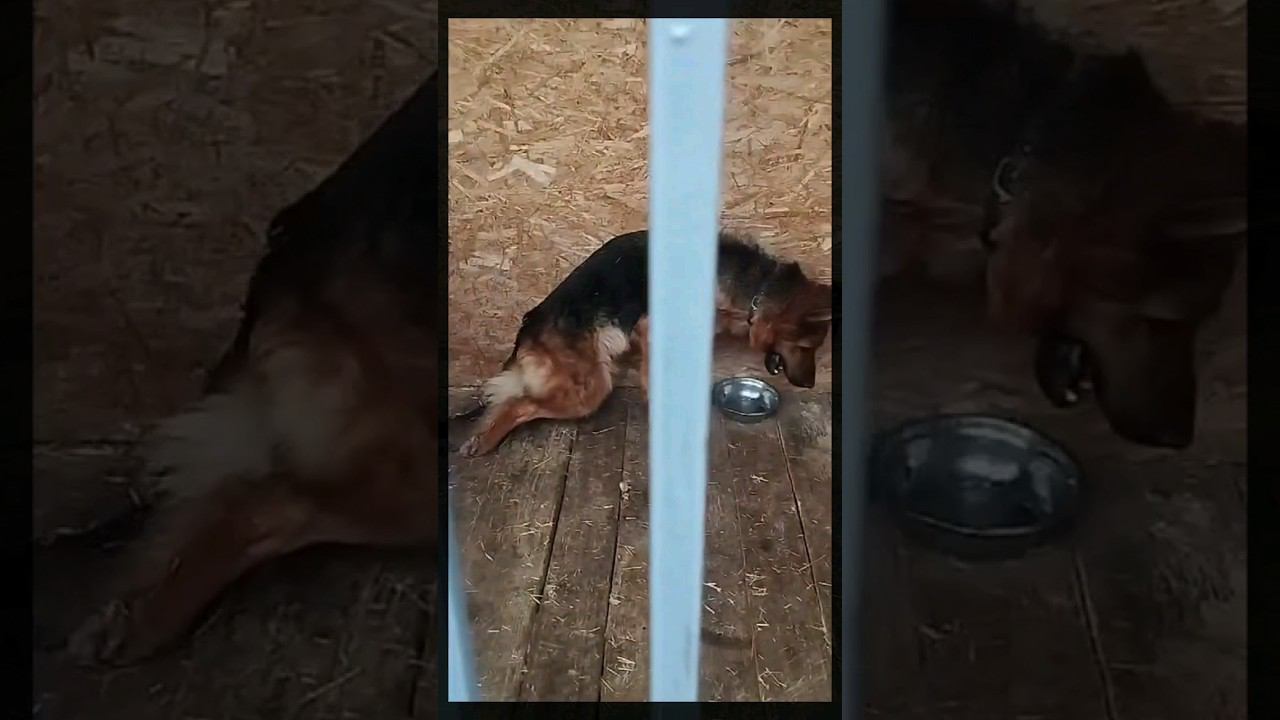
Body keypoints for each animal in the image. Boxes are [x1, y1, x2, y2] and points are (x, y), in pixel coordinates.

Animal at [457, 231, 832, 458]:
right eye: (807, 347)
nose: (810, 383)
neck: (758, 292)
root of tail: (529, 327)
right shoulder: (651, 329)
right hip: (589, 388)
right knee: (518, 404)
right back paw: (483, 440)